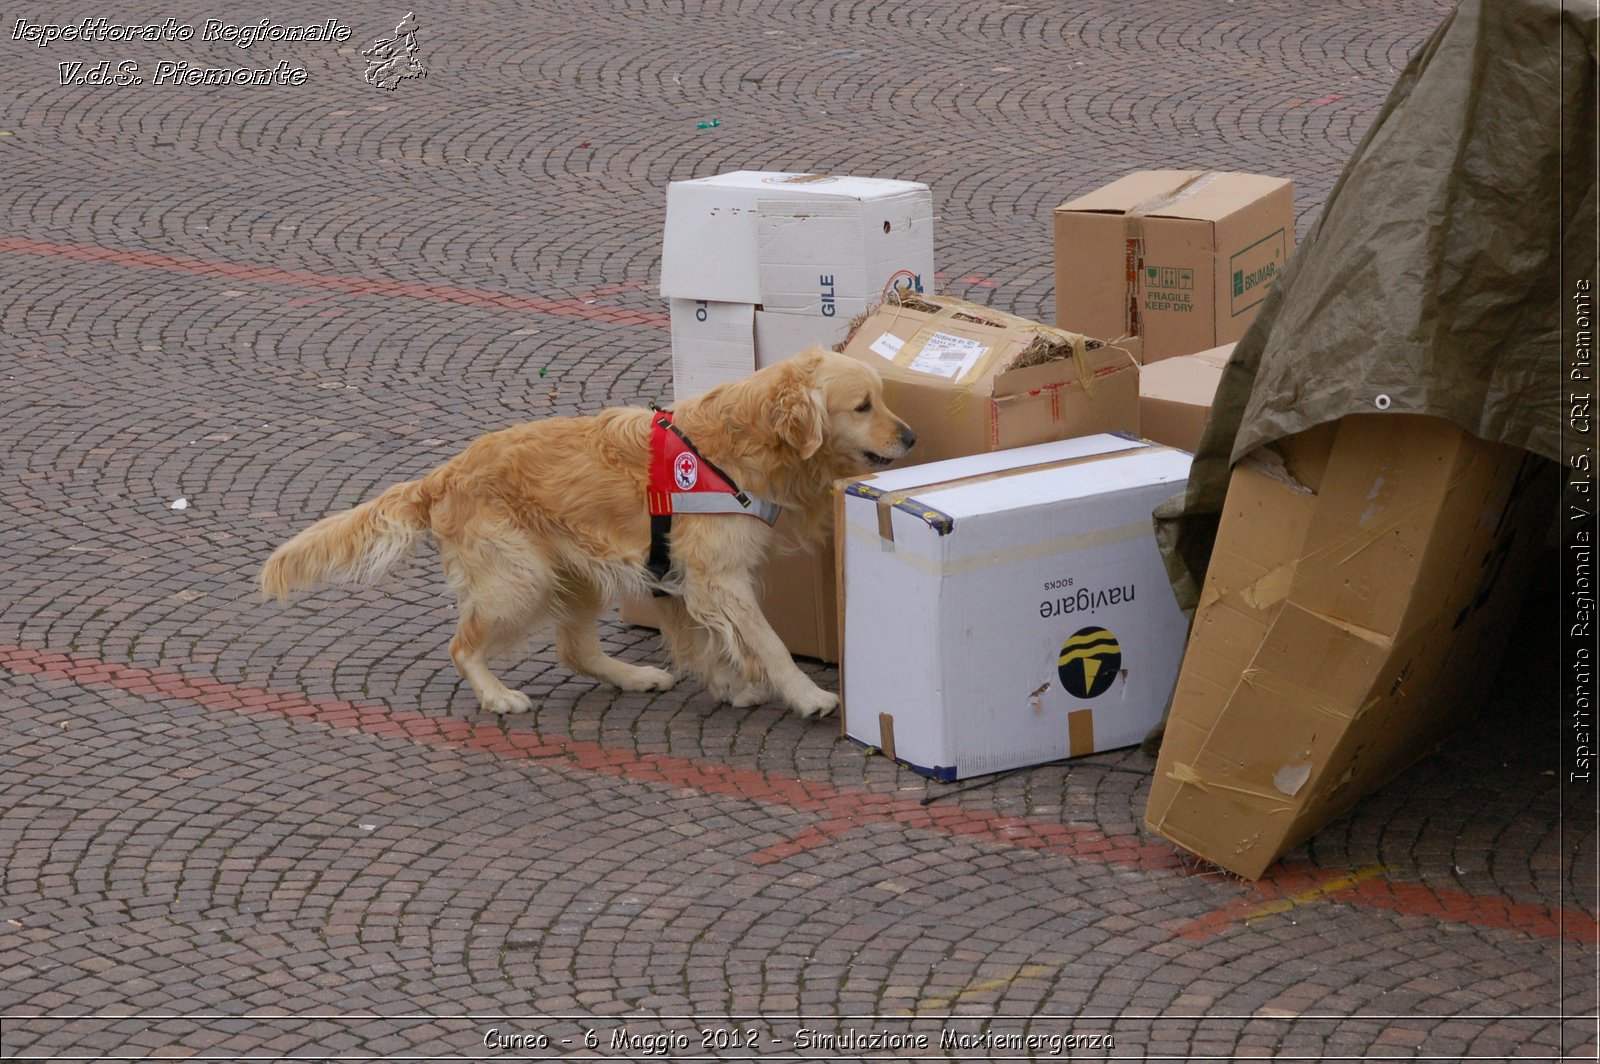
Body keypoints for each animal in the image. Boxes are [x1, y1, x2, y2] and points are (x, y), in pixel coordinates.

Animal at [259, 344, 915, 716]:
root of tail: (443, 474)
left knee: (573, 648)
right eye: (862, 406)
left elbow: (705, 643)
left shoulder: (675, 578)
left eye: (884, 398)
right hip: (518, 578)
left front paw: (730, 686)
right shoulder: (719, 577)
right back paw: (497, 696)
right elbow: (771, 645)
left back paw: (636, 676)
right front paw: (807, 696)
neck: (741, 441)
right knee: (463, 645)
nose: (911, 436)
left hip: (571, 575)